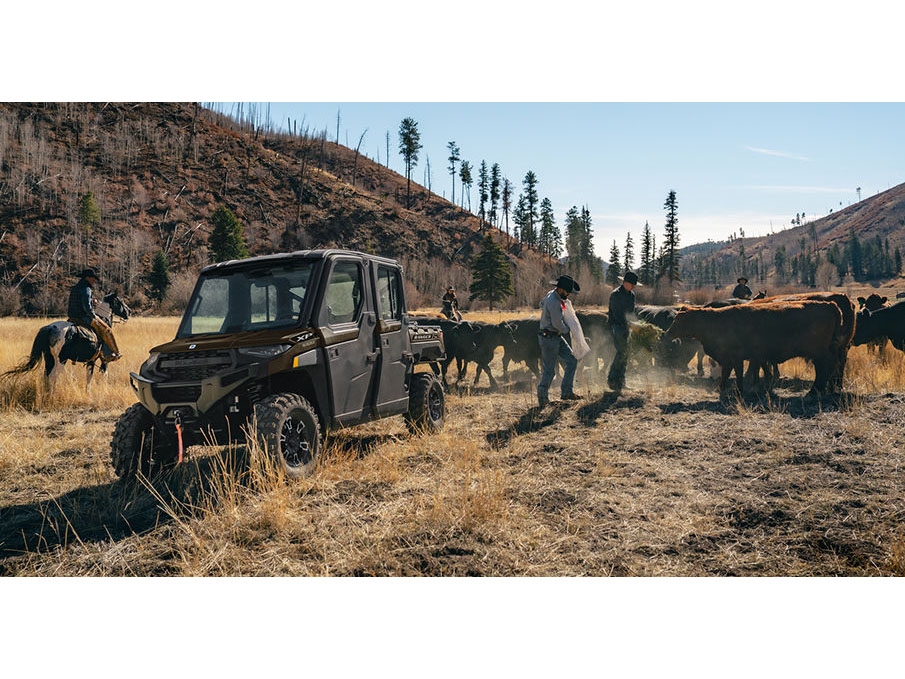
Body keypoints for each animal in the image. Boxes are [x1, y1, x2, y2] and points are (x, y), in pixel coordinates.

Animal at [1, 290, 132, 390]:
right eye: (120, 301)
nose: (129, 311)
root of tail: (49, 328)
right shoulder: (104, 360)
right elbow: (103, 375)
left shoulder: (91, 360)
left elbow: (88, 379)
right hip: (60, 360)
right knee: (53, 377)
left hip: (49, 358)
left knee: (46, 376)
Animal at [664, 302, 840, 396]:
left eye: (678, 320)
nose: (667, 333)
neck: (715, 321)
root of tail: (830, 305)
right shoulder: (730, 358)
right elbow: (728, 373)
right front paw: (722, 388)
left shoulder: (736, 357)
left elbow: (737, 373)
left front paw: (738, 390)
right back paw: (818, 390)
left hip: (819, 353)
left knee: (825, 367)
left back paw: (815, 391)